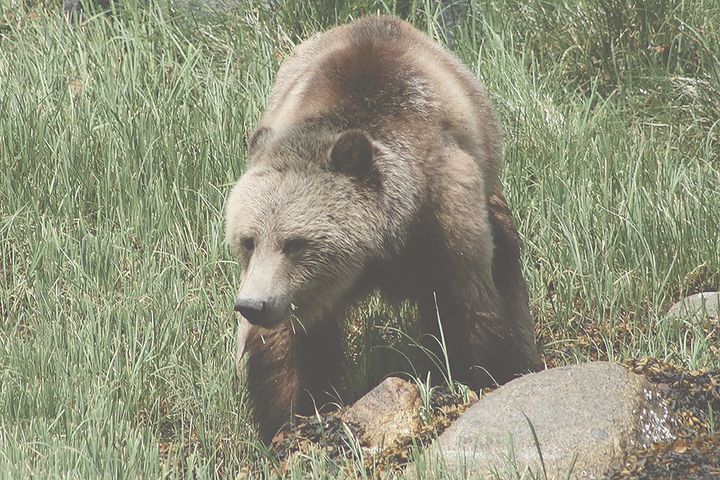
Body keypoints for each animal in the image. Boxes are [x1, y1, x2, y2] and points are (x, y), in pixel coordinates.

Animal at [225, 16, 541, 443]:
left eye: (295, 243)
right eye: (248, 241)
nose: (252, 305)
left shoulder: (442, 212)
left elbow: (466, 305)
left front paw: (475, 380)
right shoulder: (299, 294)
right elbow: (290, 348)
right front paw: (293, 420)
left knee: (505, 264)